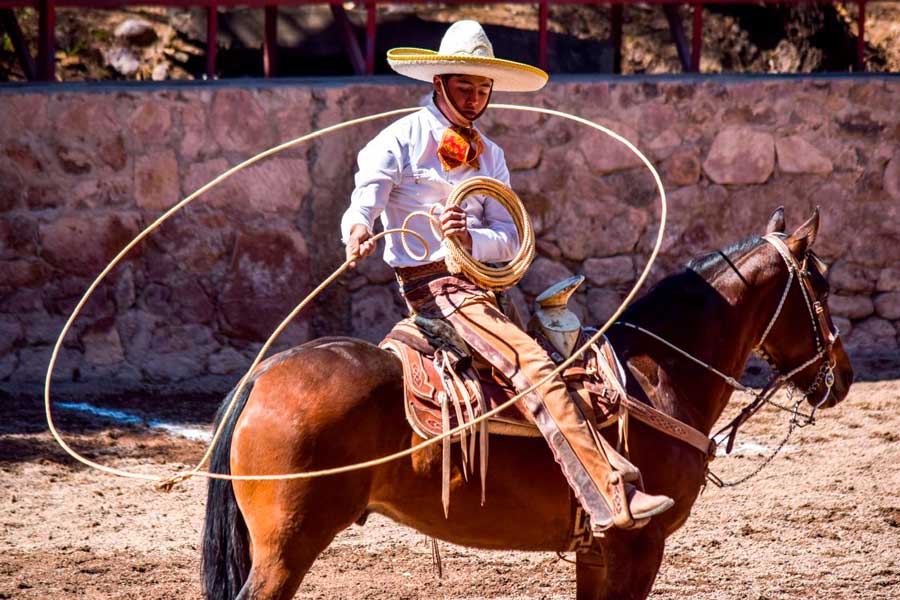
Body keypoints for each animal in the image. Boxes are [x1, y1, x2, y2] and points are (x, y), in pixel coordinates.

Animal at [202, 209, 852, 596]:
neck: (658, 376)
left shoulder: (599, 551)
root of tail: (263, 376)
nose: (841, 378)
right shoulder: (641, 545)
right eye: (820, 283)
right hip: (287, 547)